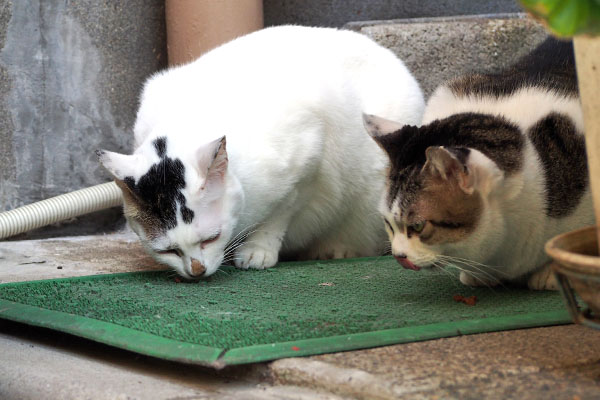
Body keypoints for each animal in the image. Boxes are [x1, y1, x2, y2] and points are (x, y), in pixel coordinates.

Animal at [96, 25, 424, 280]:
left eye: (211, 238)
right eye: (169, 251)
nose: (196, 271)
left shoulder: (307, 165)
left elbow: (278, 216)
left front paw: (257, 251)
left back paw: (335, 250)